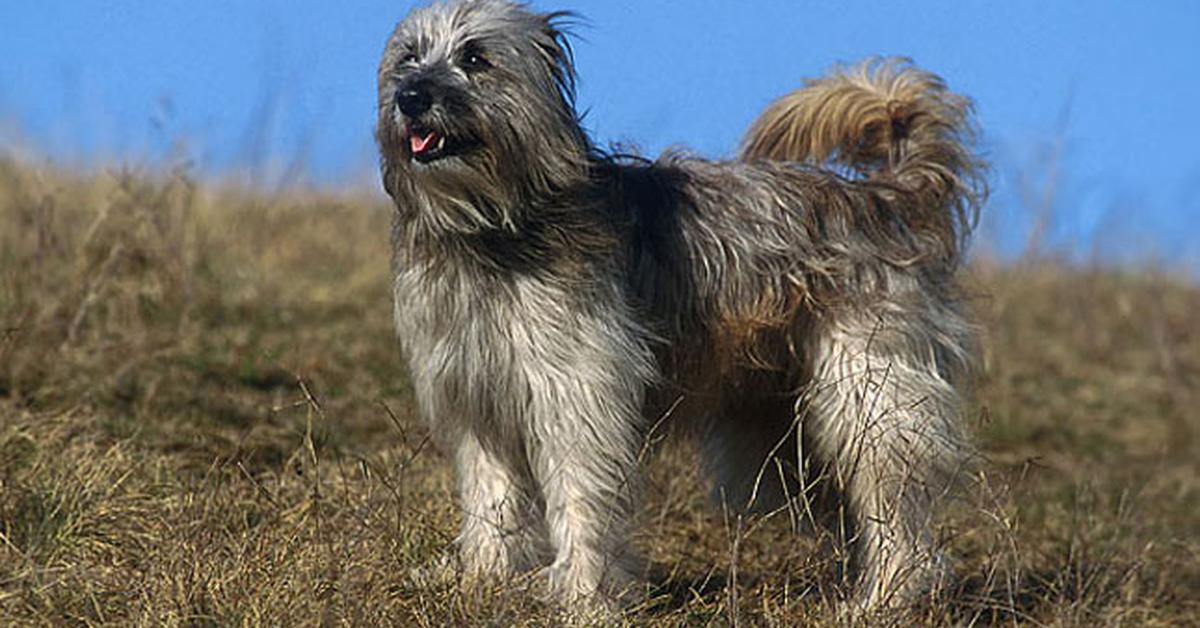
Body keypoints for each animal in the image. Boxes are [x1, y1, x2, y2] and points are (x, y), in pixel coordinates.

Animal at [374, 0, 984, 619]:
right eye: (409, 58)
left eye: (475, 57)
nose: (411, 97)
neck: (494, 223)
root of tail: (884, 197)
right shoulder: (477, 402)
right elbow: (490, 497)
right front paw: (480, 579)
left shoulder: (577, 399)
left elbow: (581, 500)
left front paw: (585, 600)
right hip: (782, 431)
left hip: (868, 400)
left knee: (898, 515)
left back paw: (883, 599)